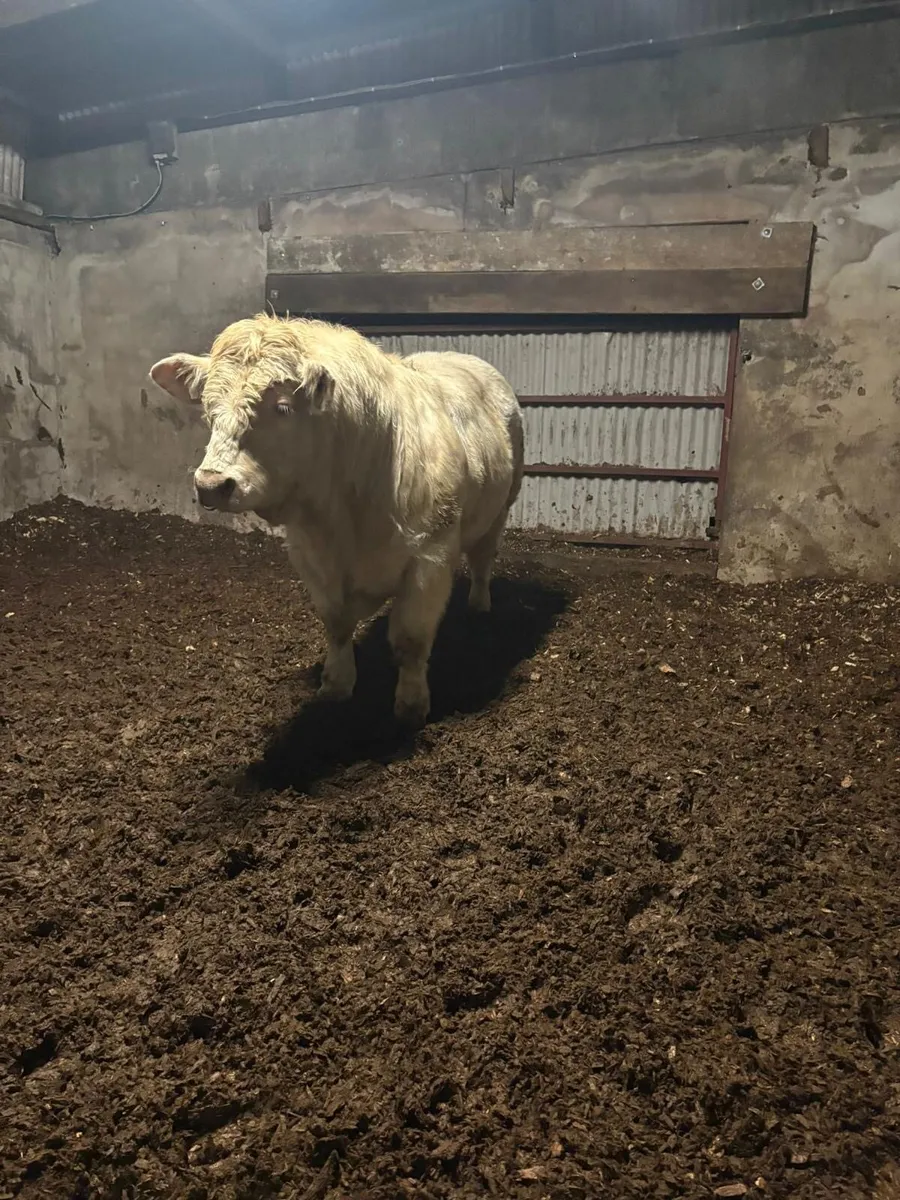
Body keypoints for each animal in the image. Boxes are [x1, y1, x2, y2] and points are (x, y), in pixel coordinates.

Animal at [150, 314, 524, 727]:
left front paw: (411, 706)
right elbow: (336, 624)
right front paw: (336, 684)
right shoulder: (310, 555)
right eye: (208, 408)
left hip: (502, 506)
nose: (211, 485)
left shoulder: (431, 557)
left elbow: (410, 640)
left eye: (283, 407)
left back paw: (479, 605)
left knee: (482, 559)